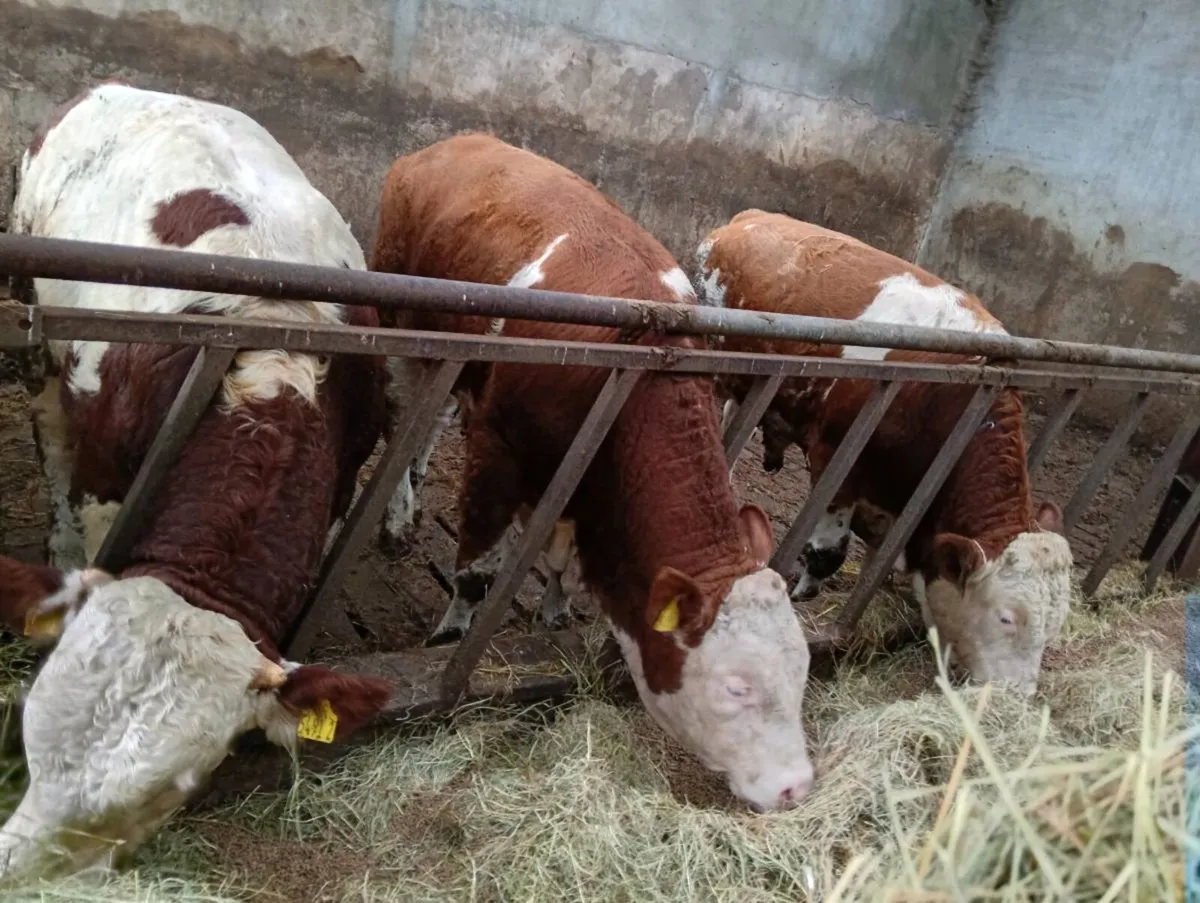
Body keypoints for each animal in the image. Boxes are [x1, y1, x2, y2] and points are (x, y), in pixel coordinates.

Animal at [2, 83, 395, 879]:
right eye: (28, 732)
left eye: (170, 790)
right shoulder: (105, 473)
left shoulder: (345, 476)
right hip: (34, 322)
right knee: (50, 432)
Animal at [370, 133, 814, 813]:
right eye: (736, 687)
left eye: (804, 668)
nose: (798, 785)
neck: (638, 366)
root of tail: (456, 142)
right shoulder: (500, 451)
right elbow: (477, 567)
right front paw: (452, 633)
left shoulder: (582, 487)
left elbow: (564, 568)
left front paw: (555, 607)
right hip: (406, 325)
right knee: (406, 417)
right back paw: (397, 515)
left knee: (432, 416)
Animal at [695, 209, 1074, 697]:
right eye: (1006, 617)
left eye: (1057, 624)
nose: (1016, 699)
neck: (941, 396)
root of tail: (750, 217)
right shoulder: (838, 459)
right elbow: (829, 552)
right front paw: (803, 593)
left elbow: (883, 555)